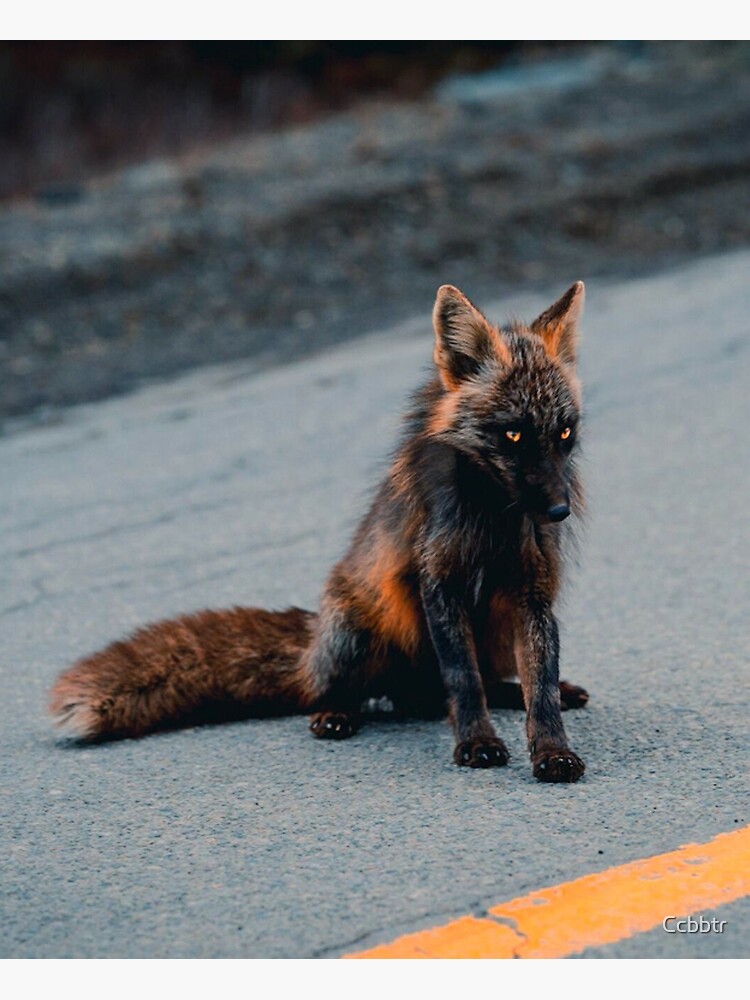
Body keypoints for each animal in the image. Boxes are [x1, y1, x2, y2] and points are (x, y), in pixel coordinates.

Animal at [50, 281, 590, 782]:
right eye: (513, 434)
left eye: (564, 433)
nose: (559, 511)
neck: (492, 521)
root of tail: (311, 645)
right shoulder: (439, 584)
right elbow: (462, 679)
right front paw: (476, 743)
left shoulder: (533, 593)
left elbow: (540, 687)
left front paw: (552, 751)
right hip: (358, 634)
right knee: (371, 695)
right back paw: (334, 714)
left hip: (493, 632)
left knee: (453, 692)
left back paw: (538, 692)